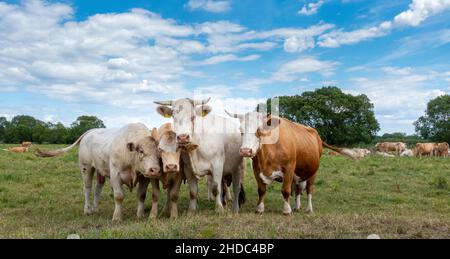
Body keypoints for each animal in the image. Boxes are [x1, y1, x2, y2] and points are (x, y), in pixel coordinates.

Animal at [225, 111, 356, 215]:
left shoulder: (289, 168)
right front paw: (260, 209)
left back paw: (309, 209)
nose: (245, 151)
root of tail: (316, 135)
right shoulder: (257, 169)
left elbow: (286, 190)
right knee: (298, 189)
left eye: (259, 130)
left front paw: (286, 210)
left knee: (309, 190)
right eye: (241, 131)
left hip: (313, 172)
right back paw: (297, 207)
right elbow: (261, 190)